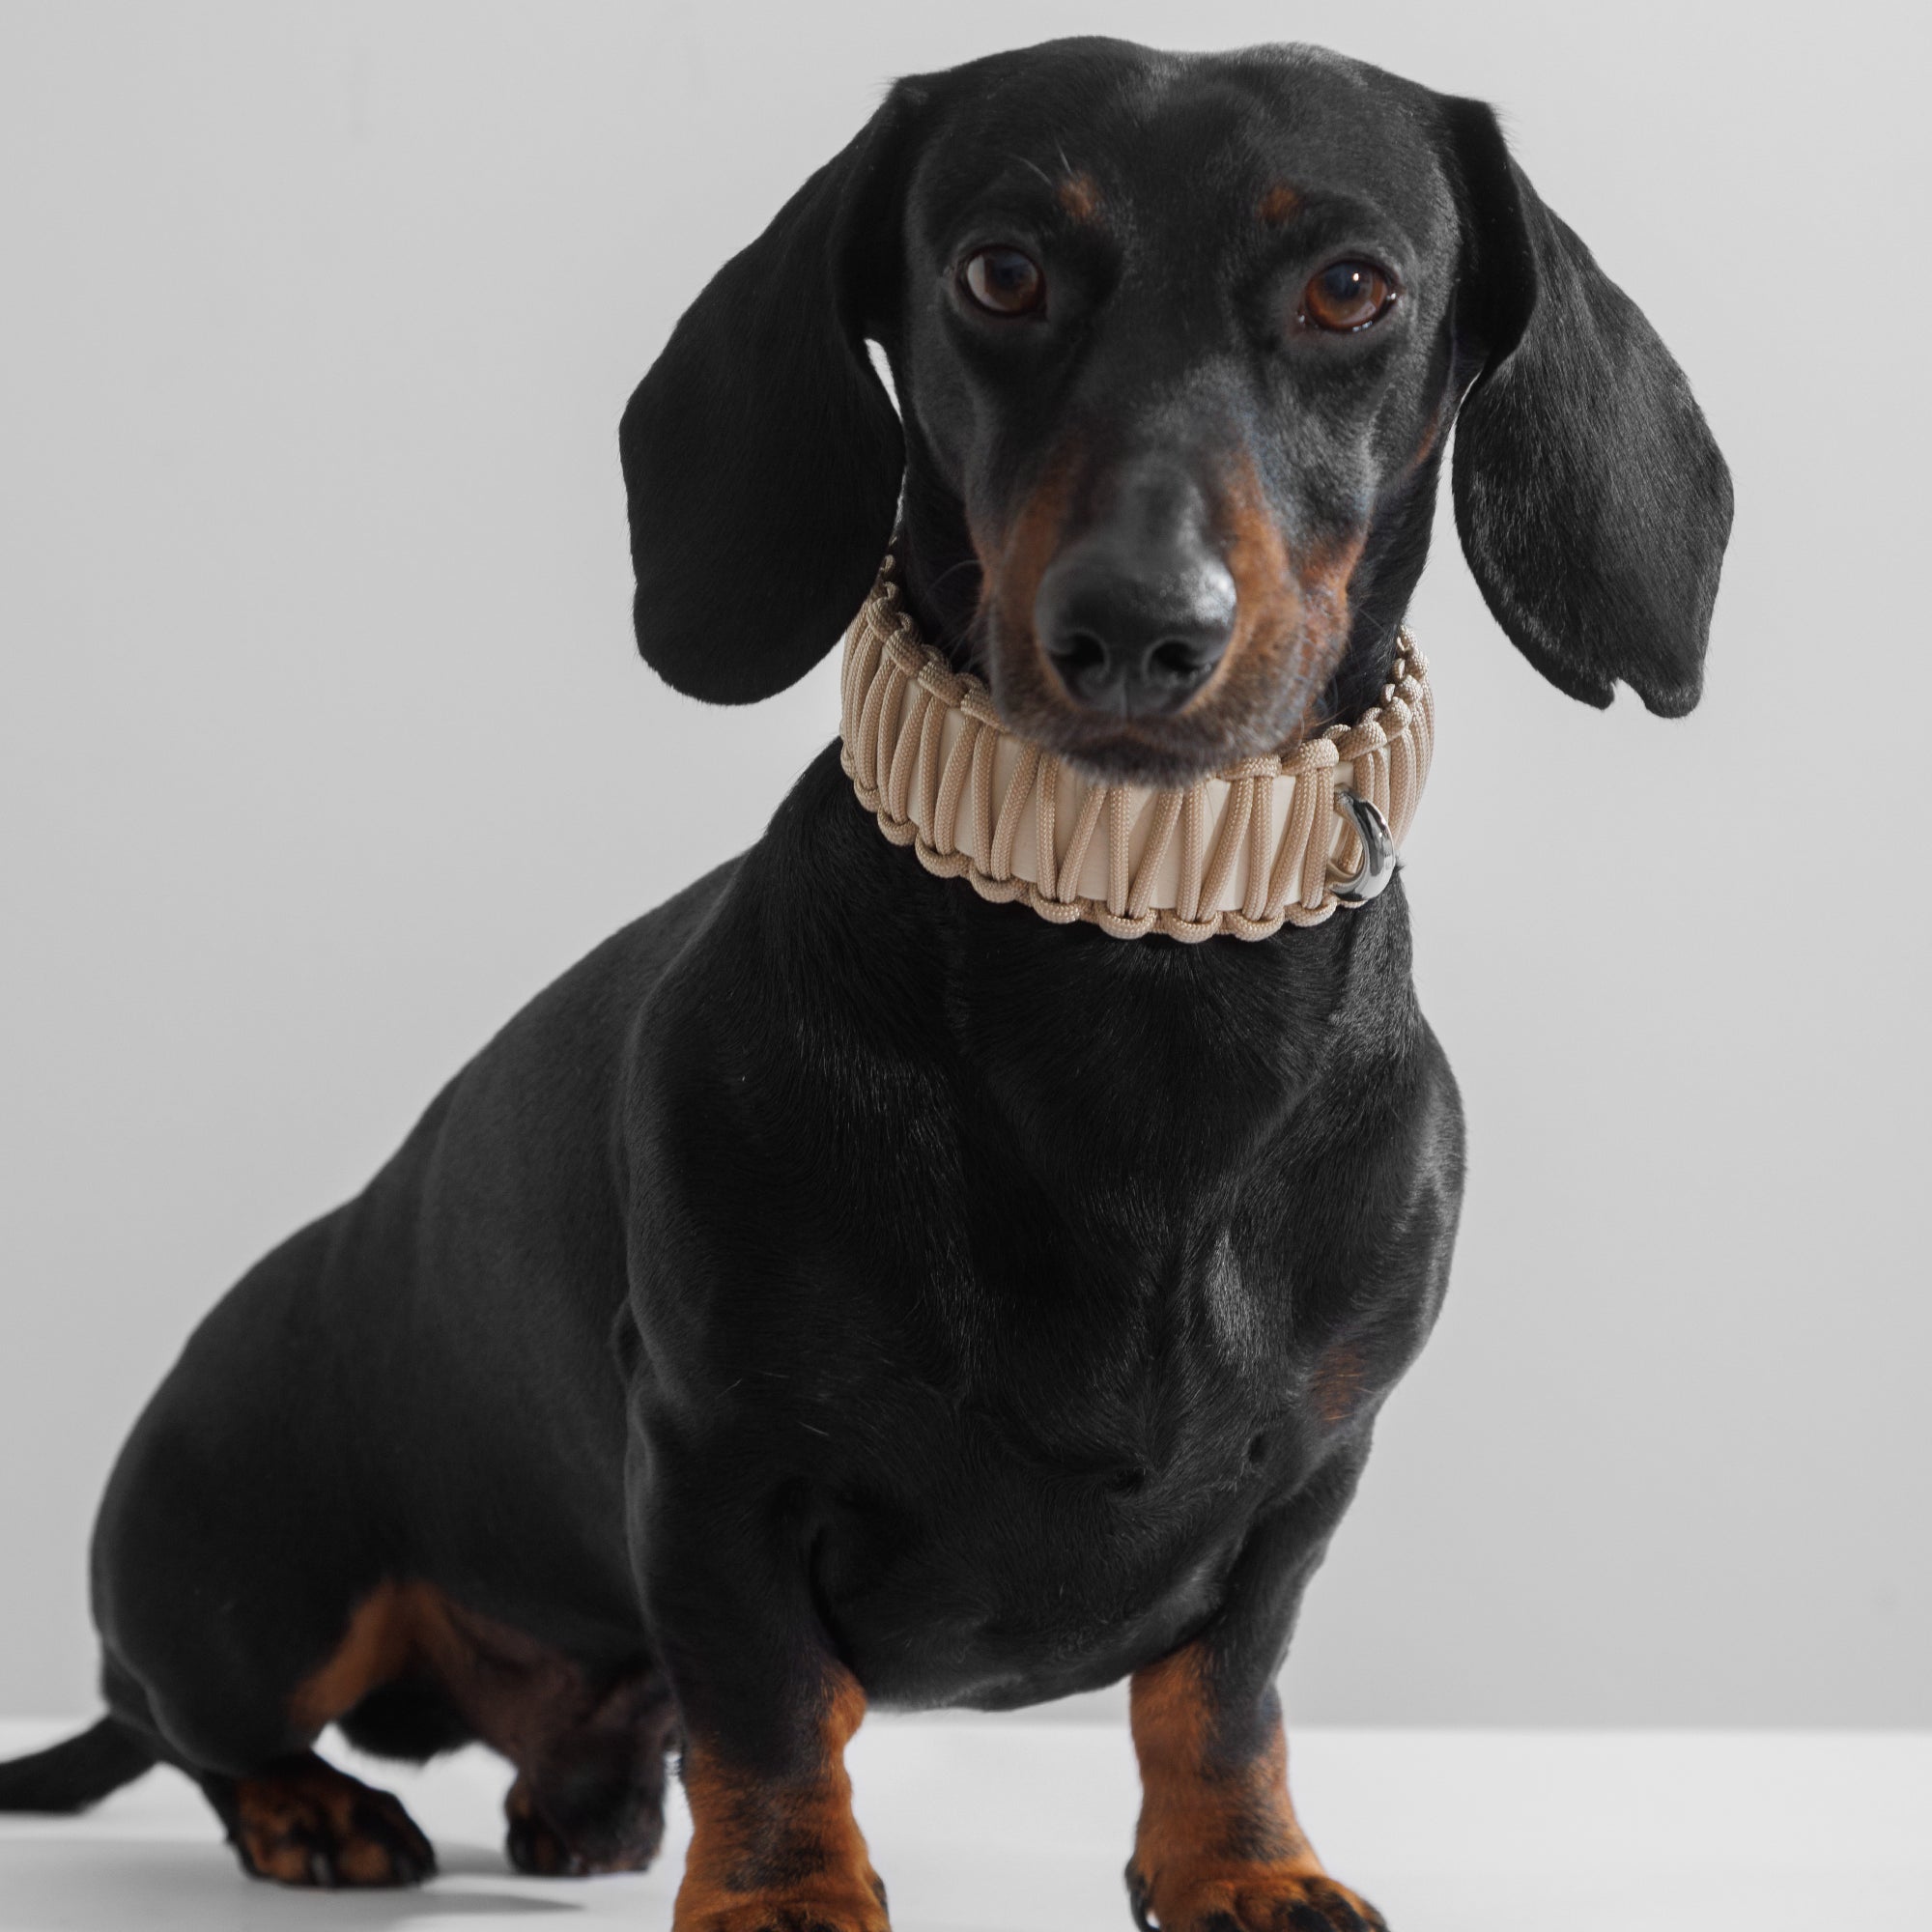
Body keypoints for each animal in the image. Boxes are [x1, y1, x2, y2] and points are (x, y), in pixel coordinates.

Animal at [0, 36, 1730, 1932]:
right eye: (1000, 272)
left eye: (1354, 288)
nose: (1137, 628)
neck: (1130, 962)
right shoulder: (713, 1455)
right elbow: (769, 1707)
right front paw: (784, 1893)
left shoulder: (1311, 1476)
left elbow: (1223, 1692)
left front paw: (1244, 1870)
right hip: (252, 1587)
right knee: (198, 1723)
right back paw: (313, 1810)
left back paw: (588, 1799)